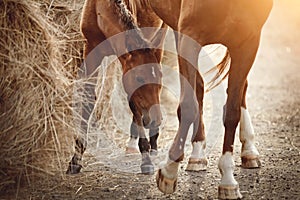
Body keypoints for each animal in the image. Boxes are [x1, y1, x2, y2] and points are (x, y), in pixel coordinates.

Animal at [66, 0, 168, 175]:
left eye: (160, 77)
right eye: (139, 78)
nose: (156, 119)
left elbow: (134, 104)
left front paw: (146, 159)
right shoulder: (92, 51)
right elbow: (87, 99)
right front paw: (75, 160)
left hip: (161, 36)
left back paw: (151, 144)